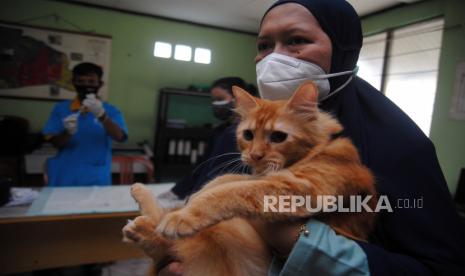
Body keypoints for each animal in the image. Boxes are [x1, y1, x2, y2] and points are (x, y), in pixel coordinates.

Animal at [124, 81, 376, 274]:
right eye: (248, 135)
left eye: (278, 137)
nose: (255, 155)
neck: (314, 151)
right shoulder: (268, 177)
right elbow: (229, 179)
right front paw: (194, 196)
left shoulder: (300, 186)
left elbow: (226, 191)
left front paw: (187, 212)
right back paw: (141, 207)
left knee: (169, 244)